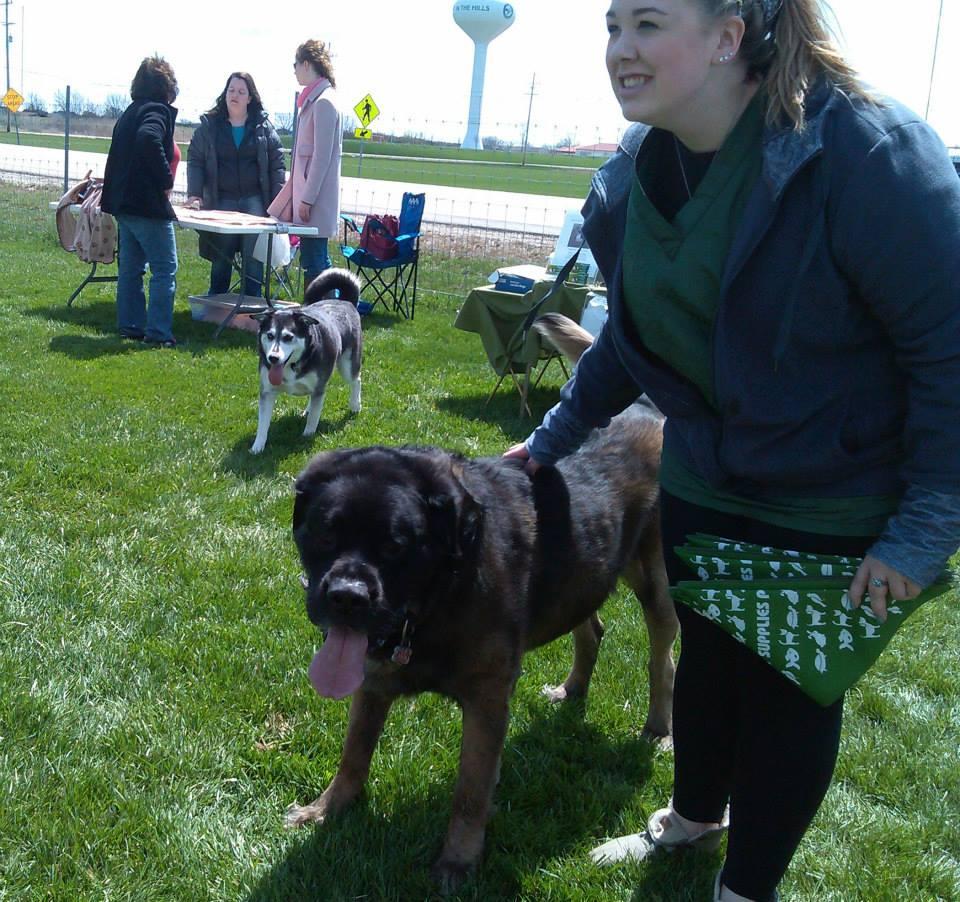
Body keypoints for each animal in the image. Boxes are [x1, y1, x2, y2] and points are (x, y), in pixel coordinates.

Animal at [249, 266, 362, 452]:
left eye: (288, 337)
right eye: (270, 335)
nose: (273, 358)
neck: (292, 366)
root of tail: (345, 301)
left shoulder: (319, 387)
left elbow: (314, 417)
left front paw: (307, 435)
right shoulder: (267, 391)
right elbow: (262, 423)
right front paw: (257, 446)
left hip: (348, 364)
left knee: (356, 380)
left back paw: (355, 405)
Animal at [288, 314, 680, 892]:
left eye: (396, 545)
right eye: (323, 533)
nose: (346, 598)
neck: (439, 595)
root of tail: (647, 407)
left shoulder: (488, 699)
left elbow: (470, 792)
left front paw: (457, 863)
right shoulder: (373, 679)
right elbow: (354, 751)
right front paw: (327, 809)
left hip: (653, 579)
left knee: (661, 657)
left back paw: (657, 727)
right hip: (580, 573)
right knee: (591, 630)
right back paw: (572, 689)